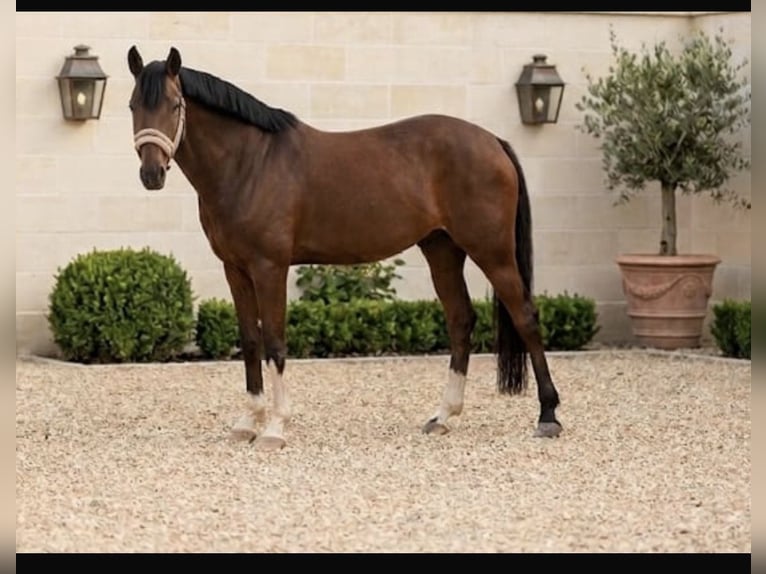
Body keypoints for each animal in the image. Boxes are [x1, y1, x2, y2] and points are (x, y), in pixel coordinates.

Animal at [127, 45, 562, 450]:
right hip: (442, 250)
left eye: (174, 104)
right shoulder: (235, 269)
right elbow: (250, 340)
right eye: (133, 105)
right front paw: (248, 423)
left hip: (493, 252)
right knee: (460, 320)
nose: (150, 174)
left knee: (525, 316)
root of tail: (494, 141)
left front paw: (274, 429)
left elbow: (274, 341)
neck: (249, 163)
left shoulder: (269, 267)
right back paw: (443, 416)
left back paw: (548, 416)